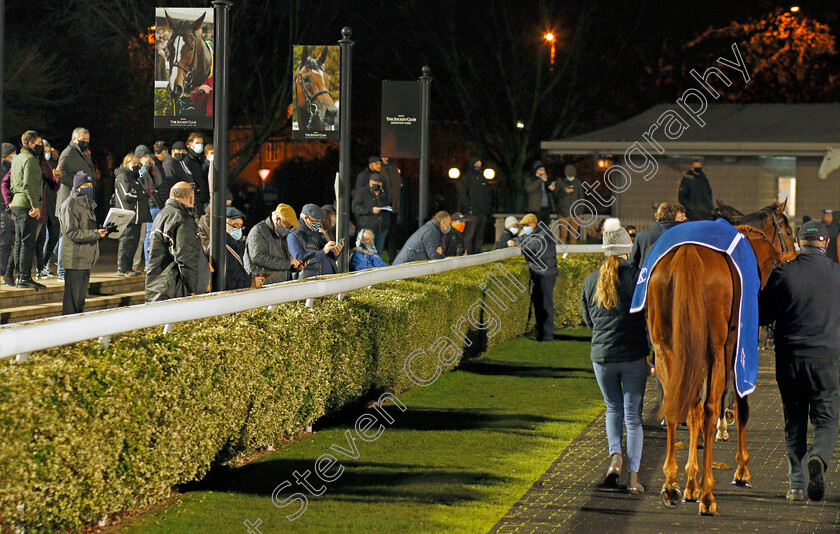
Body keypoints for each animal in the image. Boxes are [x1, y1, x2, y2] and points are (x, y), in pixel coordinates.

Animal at [648, 201, 796, 516]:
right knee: (709, 407)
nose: (790, 259)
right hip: (715, 347)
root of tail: (689, 254)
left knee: (678, 402)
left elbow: (693, 406)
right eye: (788, 231)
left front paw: (690, 480)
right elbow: (739, 402)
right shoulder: (734, 343)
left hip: (667, 346)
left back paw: (674, 484)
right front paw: (741, 469)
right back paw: (707, 493)